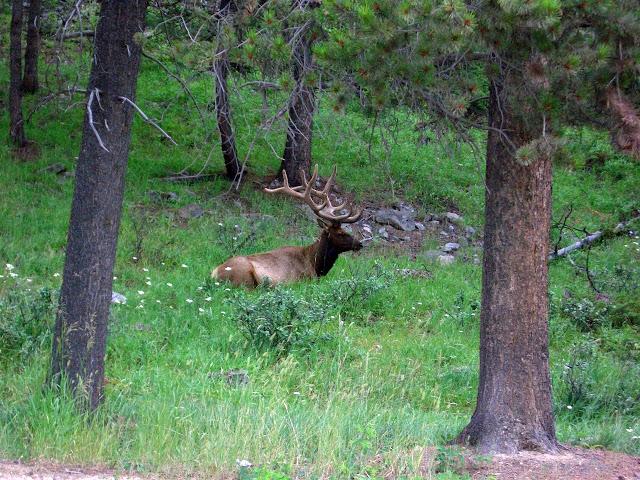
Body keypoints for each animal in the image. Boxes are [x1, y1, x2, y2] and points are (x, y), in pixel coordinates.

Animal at [212, 165, 362, 284]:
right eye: (340, 233)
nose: (360, 243)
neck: (315, 264)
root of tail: (215, 274)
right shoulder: (305, 279)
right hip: (245, 276)